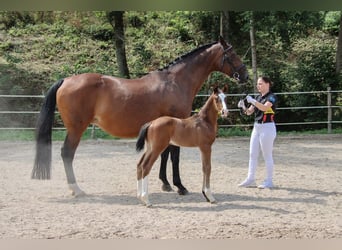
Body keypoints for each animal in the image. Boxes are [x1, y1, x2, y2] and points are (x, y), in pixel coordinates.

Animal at [32, 35, 247, 197]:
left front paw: (165, 184)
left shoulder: (167, 126)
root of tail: (66, 80)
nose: (245, 75)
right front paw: (180, 186)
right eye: (232, 54)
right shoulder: (176, 123)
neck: (175, 82)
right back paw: (76, 189)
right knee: (67, 153)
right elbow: (174, 156)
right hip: (77, 129)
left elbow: (164, 154)